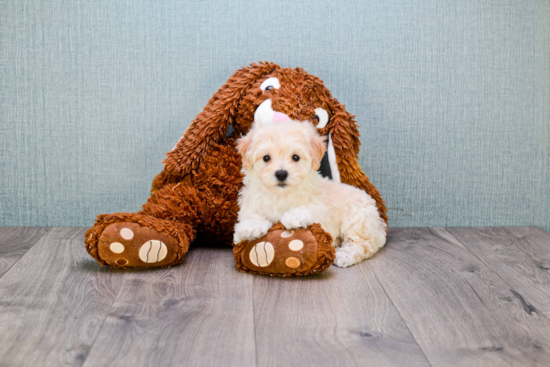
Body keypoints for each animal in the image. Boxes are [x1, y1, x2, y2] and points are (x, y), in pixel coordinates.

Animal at [234, 121, 388, 268]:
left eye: (295, 157)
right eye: (266, 158)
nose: (281, 173)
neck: (281, 195)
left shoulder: (322, 211)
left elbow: (309, 210)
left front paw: (293, 217)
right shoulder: (250, 205)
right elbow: (250, 218)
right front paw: (251, 227)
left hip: (357, 219)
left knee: (365, 244)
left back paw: (344, 255)